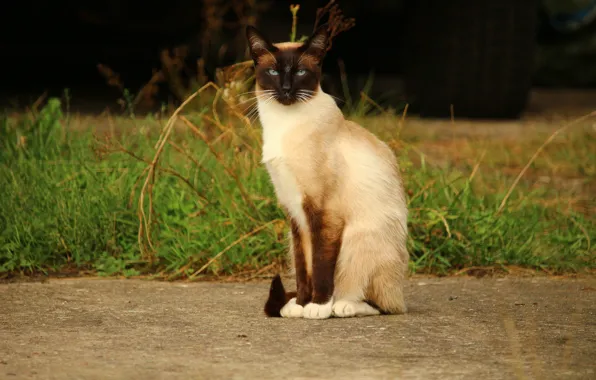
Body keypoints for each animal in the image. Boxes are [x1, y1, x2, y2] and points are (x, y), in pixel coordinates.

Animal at [244, 25, 408, 320]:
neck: (284, 124)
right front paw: (301, 305)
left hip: (356, 239)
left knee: (383, 306)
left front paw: (318, 307)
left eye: (300, 72)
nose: (286, 89)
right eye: (273, 71)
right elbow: (303, 268)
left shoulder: (323, 212)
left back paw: (341, 306)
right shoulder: (296, 214)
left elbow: (321, 265)